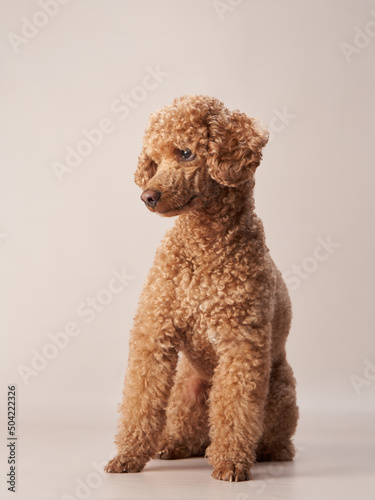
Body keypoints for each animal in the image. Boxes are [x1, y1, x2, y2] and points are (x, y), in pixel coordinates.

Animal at [106, 94, 300, 480]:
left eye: (185, 153)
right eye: (154, 161)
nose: (147, 196)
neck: (205, 244)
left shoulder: (241, 344)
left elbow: (236, 407)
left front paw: (231, 461)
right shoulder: (154, 331)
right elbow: (140, 397)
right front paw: (129, 456)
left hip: (280, 388)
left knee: (273, 435)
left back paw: (267, 451)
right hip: (187, 386)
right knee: (188, 429)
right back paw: (176, 445)